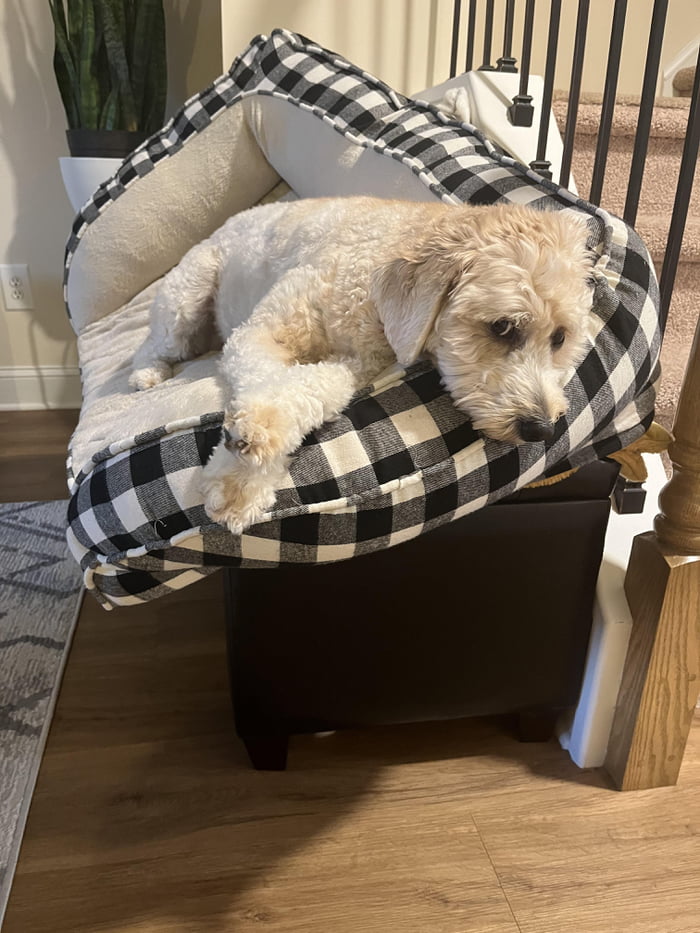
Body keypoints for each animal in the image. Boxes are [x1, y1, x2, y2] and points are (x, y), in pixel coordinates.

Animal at [129, 197, 592, 532]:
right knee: (154, 344)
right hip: (187, 296)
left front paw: (247, 471)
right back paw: (146, 374)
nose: (541, 429)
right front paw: (245, 464)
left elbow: (314, 388)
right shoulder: (262, 332)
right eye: (502, 327)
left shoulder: (356, 364)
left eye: (559, 338)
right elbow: (265, 380)